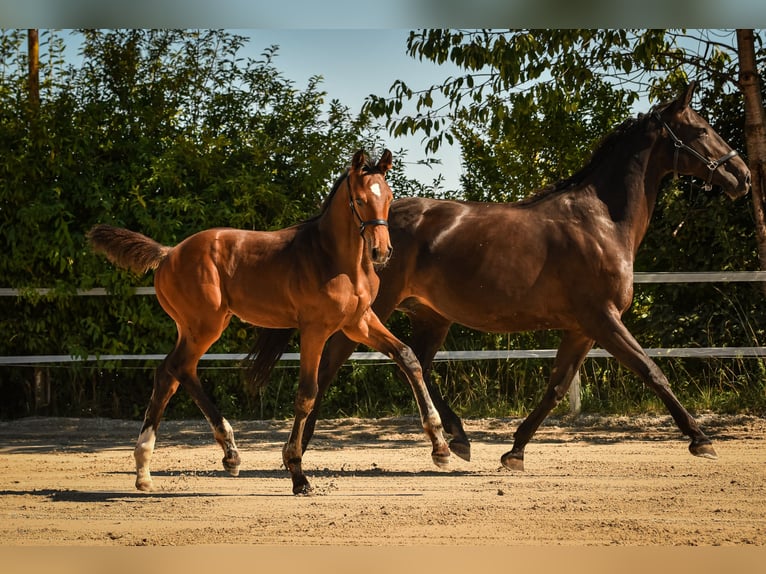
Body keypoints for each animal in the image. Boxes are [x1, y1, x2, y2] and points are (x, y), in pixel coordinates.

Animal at [87, 149, 450, 494]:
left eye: (388, 197)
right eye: (360, 199)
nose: (381, 252)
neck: (336, 260)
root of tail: (169, 253)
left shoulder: (359, 322)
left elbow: (408, 357)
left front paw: (441, 448)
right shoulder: (314, 329)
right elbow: (307, 393)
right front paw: (298, 475)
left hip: (195, 327)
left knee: (175, 373)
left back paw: (184, 464)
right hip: (204, 325)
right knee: (173, 370)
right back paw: (184, 461)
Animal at [251, 82, 751, 471]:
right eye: (701, 130)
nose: (743, 176)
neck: (601, 222)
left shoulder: (582, 327)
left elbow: (556, 388)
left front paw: (514, 452)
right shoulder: (603, 318)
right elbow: (653, 372)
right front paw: (702, 440)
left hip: (432, 316)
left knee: (417, 363)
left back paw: (457, 439)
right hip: (374, 310)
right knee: (335, 362)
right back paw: (302, 449)